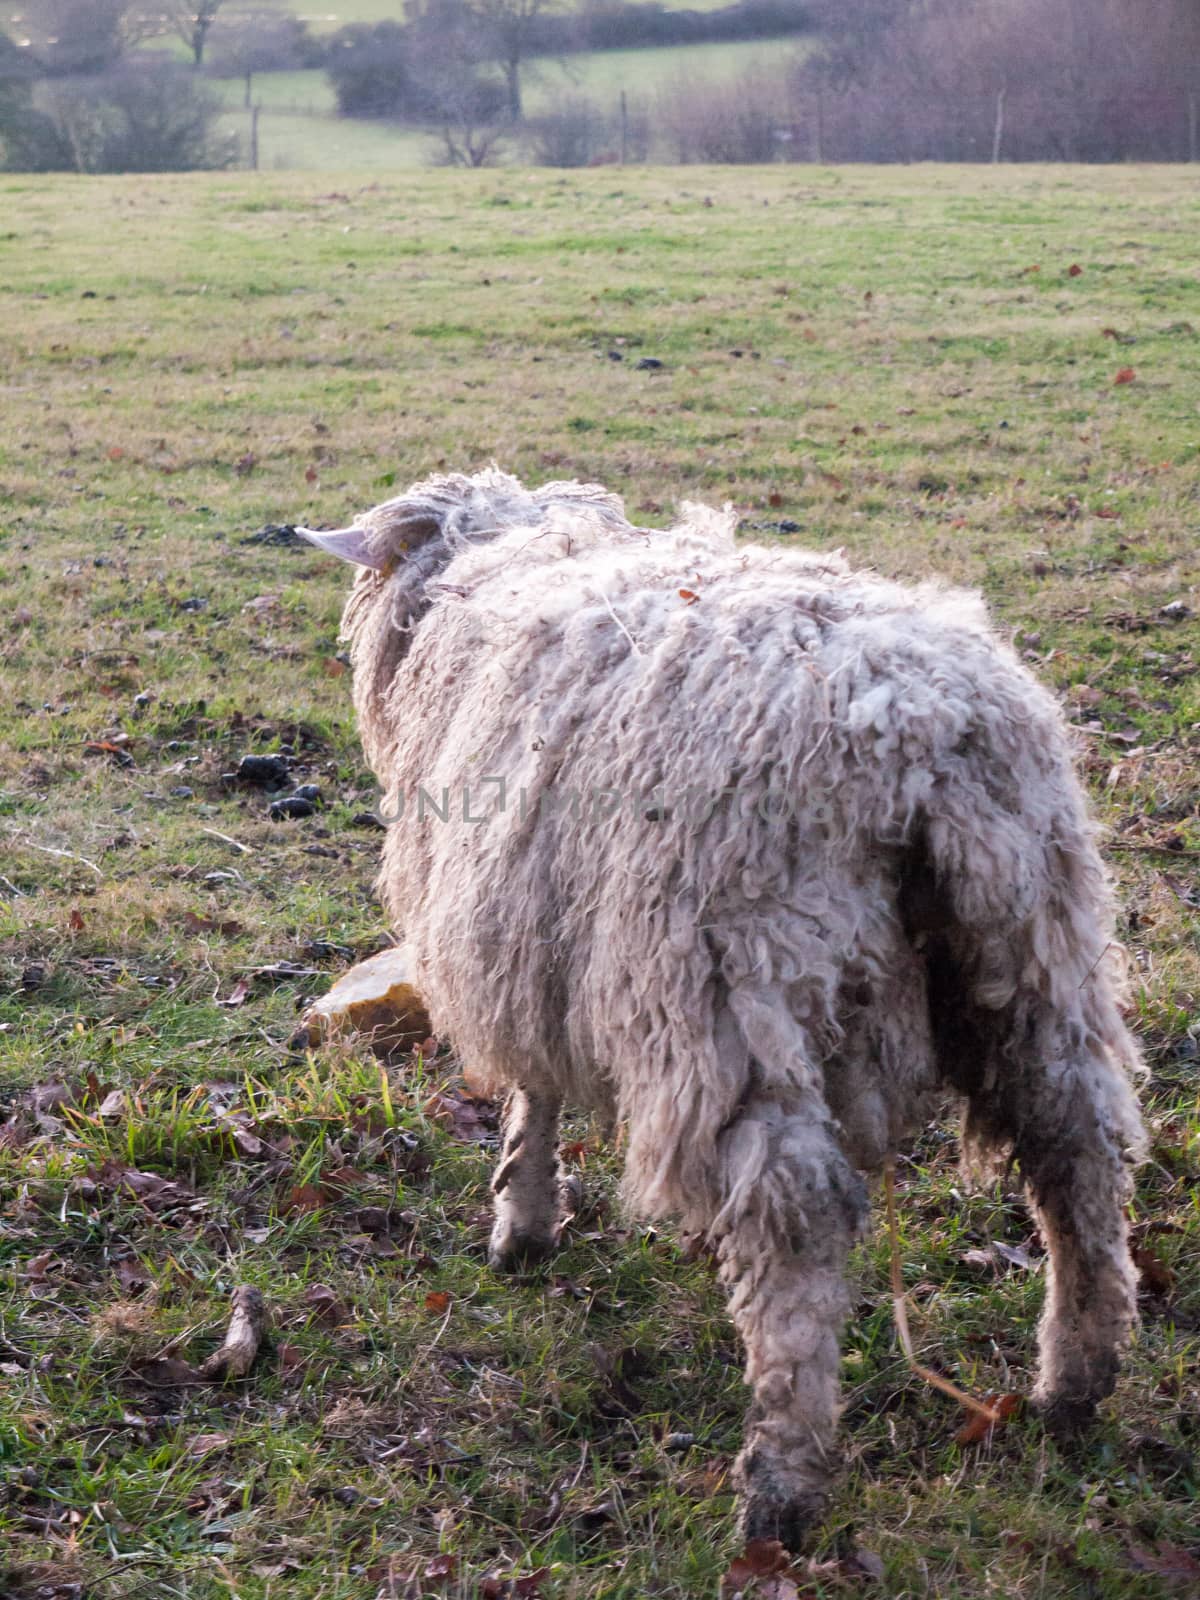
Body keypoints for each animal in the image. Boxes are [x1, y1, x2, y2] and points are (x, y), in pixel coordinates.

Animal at [299, 467, 1145, 1542]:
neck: (496, 564)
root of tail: (922, 737)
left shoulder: (520, 938)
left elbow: (535, 1092)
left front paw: (521, 1224)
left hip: (738, 981)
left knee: (801, 1214)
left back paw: (780, 1483)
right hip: (1038, 953)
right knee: (1080, 1155)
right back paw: (1075, 1382)